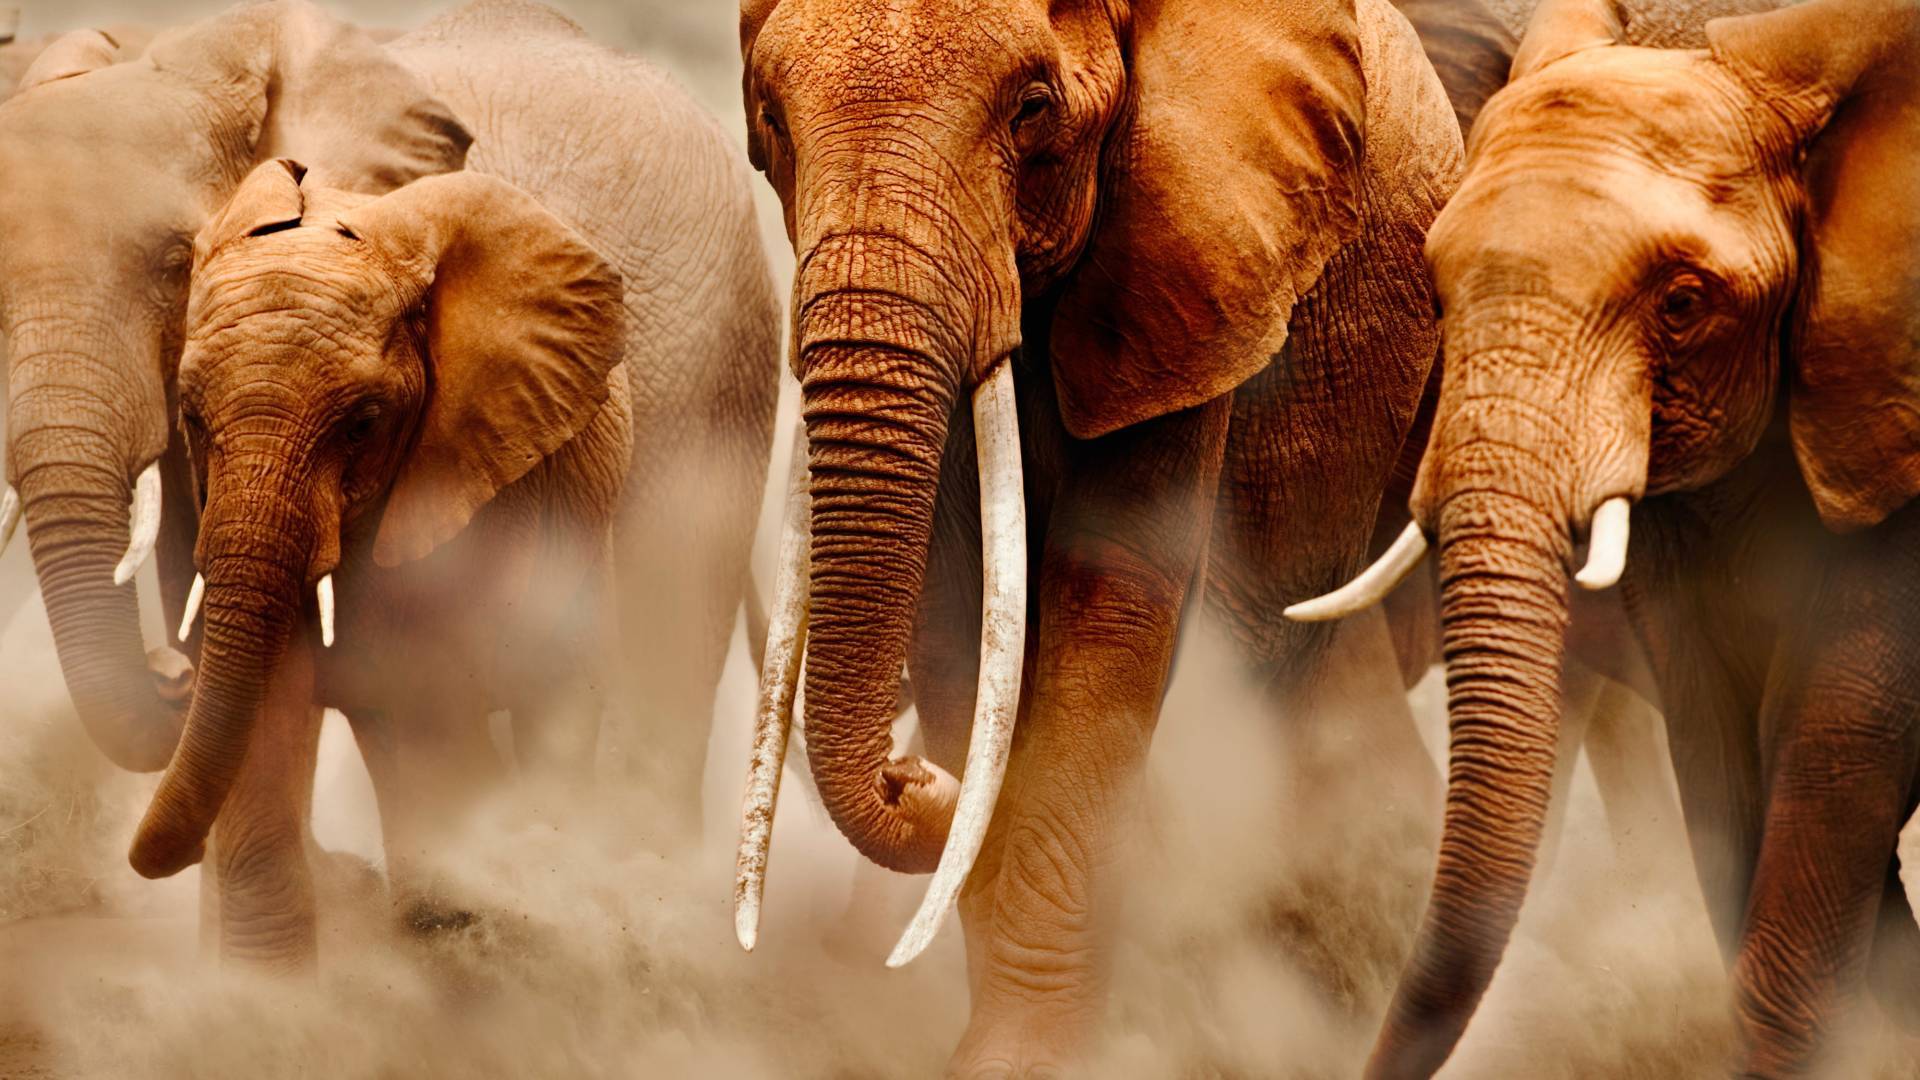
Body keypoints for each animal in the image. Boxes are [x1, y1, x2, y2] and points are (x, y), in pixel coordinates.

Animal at [725, 0, 1474, 1068]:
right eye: (770, 119)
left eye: (1032, 108)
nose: (913, 778)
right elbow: (960, 623)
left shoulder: (1194, 262)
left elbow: (1110, 597)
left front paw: (1023, 1061)